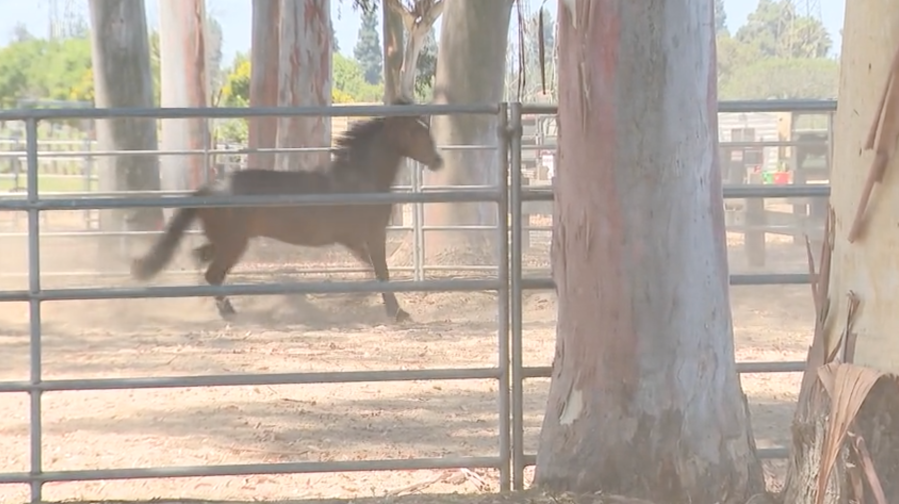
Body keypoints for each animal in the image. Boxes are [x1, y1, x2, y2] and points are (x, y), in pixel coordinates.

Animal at [129, 109, 442, 322]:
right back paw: (229, 311)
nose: (438, 161)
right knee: (212, 272)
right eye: (416, 133)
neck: (359, 179)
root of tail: (209, 187)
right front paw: (397, 312)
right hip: (234, 243)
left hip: (225, 241)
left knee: (200, 259)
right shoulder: (372, 235)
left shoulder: (354, 240)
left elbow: (370, 270)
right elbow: (382, 272)